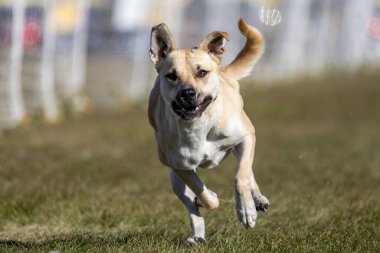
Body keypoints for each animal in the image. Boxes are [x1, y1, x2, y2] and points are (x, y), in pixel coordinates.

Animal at [147, 18, 268, 244]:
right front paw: (208, 197)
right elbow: (203, 194)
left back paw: (257, 199)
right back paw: (198, 236)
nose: (188, 93)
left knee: (247, 171)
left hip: (241, 145)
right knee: (191, 206)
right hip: (174, 180)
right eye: (171, 76)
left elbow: (241, 177)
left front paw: (246, 210)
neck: (198, 125)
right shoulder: (178, 165)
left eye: (202, 72)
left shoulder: (246, 135)